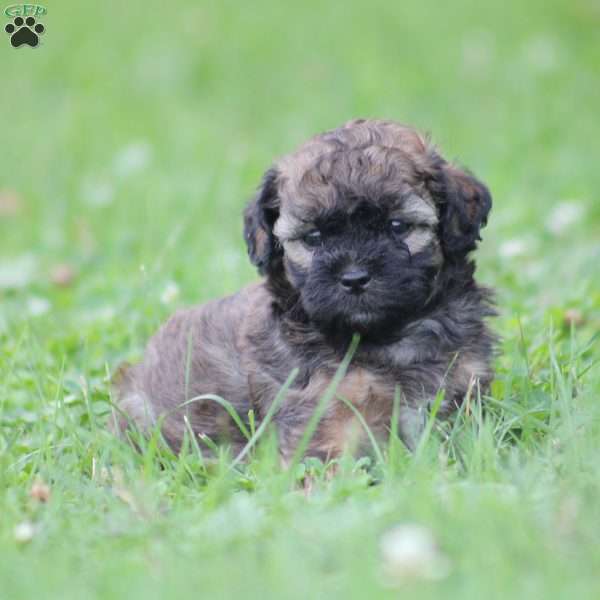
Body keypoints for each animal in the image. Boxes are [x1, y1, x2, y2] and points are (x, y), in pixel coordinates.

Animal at [115, 119, 494, 462]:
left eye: (398, 226)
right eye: (313, 237)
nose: (354, 277)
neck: (385, 339)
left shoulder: (463, 386)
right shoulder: (322, 411)